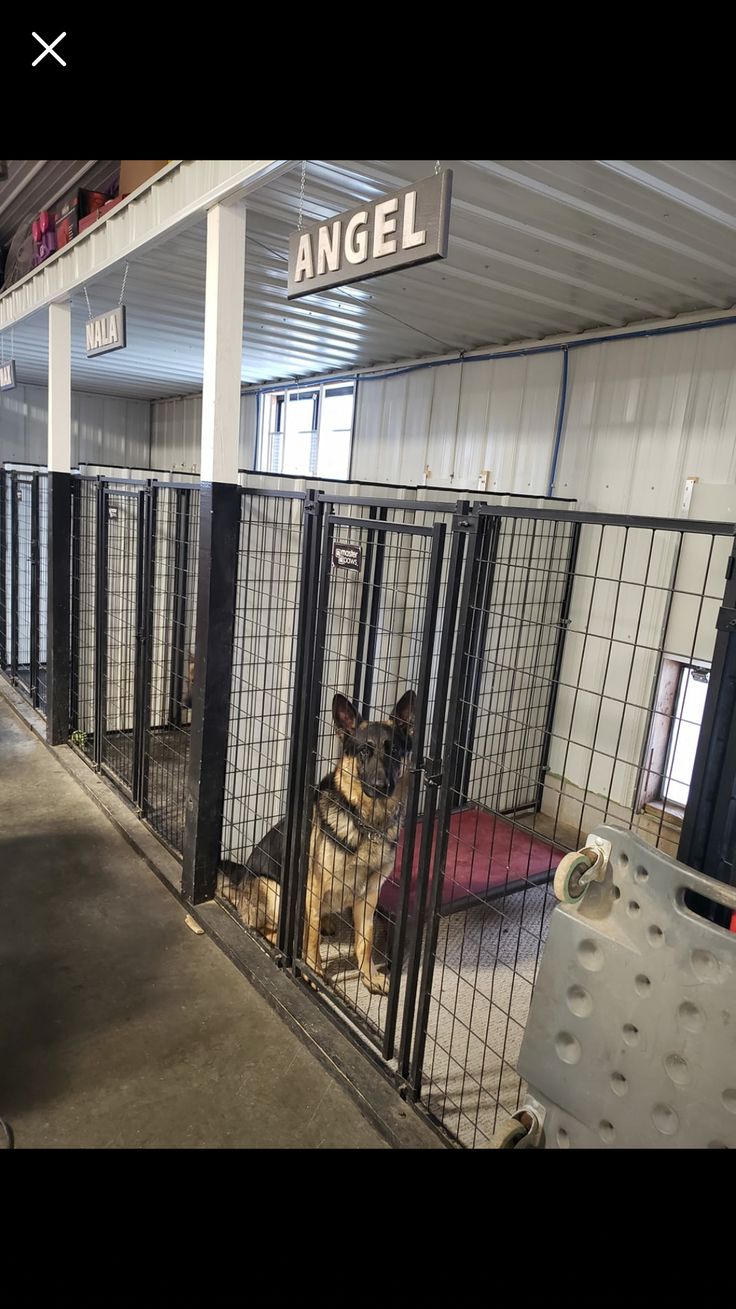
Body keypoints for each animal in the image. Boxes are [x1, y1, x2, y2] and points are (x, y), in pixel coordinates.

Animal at [218, 691, 413, 994]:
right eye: (364, 751)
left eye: (394, 751)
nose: (381, 786)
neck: (367, 823)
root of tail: (239, 886)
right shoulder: (313, 886)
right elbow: (310, 940)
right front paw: (312, 972)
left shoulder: (369, 896)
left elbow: (366, 941)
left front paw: (369, 976)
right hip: (275, 889)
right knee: (270, 928)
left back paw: (327, 921)